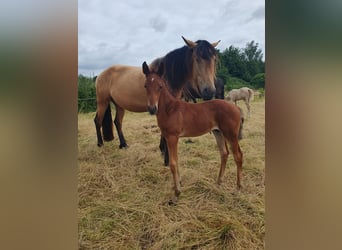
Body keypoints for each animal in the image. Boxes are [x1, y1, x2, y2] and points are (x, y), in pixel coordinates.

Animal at [143, 61, 244, 204]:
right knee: (224, 153)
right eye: (146, 85)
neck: (169, 109)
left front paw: (176, 194)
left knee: (238, 156)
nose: (152, 108)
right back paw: (218, 182)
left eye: (160, 86)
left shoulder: (172, 137)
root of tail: (236, 108)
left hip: (231, 135)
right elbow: (176, 161)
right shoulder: (170, 137)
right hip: (218, 132)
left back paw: (238, 188)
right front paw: (178, 185)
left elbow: (173, 163)